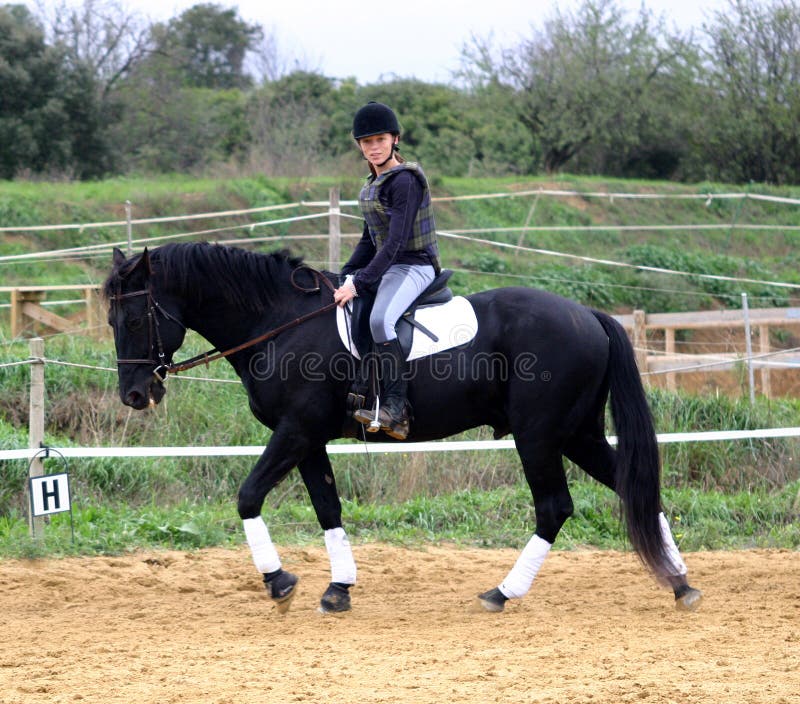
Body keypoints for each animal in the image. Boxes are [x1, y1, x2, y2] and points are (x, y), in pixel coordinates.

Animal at [104, 243, 700, 616]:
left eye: (133, 319)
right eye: (110, 321)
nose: (135, 395)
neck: (279, 323)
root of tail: (588, 314)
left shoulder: (295, 431)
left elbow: (248, 496)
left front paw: (279, 583)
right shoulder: (309, 439)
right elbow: (328, 508)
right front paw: (338, 589)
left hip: (539, 437)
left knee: (555, 507)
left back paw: (502, 593)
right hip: (577, 434)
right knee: (635, 489)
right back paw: (680, 584)